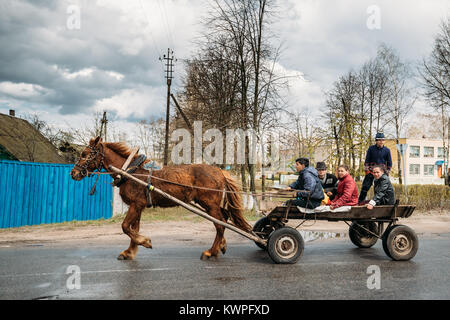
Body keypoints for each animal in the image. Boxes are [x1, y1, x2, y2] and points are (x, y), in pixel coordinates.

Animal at [72, 137, 251, 260]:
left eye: (84, 154)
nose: (73, 173)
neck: (129, 172)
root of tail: (220, 171)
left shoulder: (136, 204)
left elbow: (125, 227)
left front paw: (145, 241)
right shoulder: (138, 206)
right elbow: (133, 228)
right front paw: (130, 252)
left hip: (209, 204)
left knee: (220, 225)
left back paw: (211, 252)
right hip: (209, 205)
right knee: (224, 218)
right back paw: (221, 245)